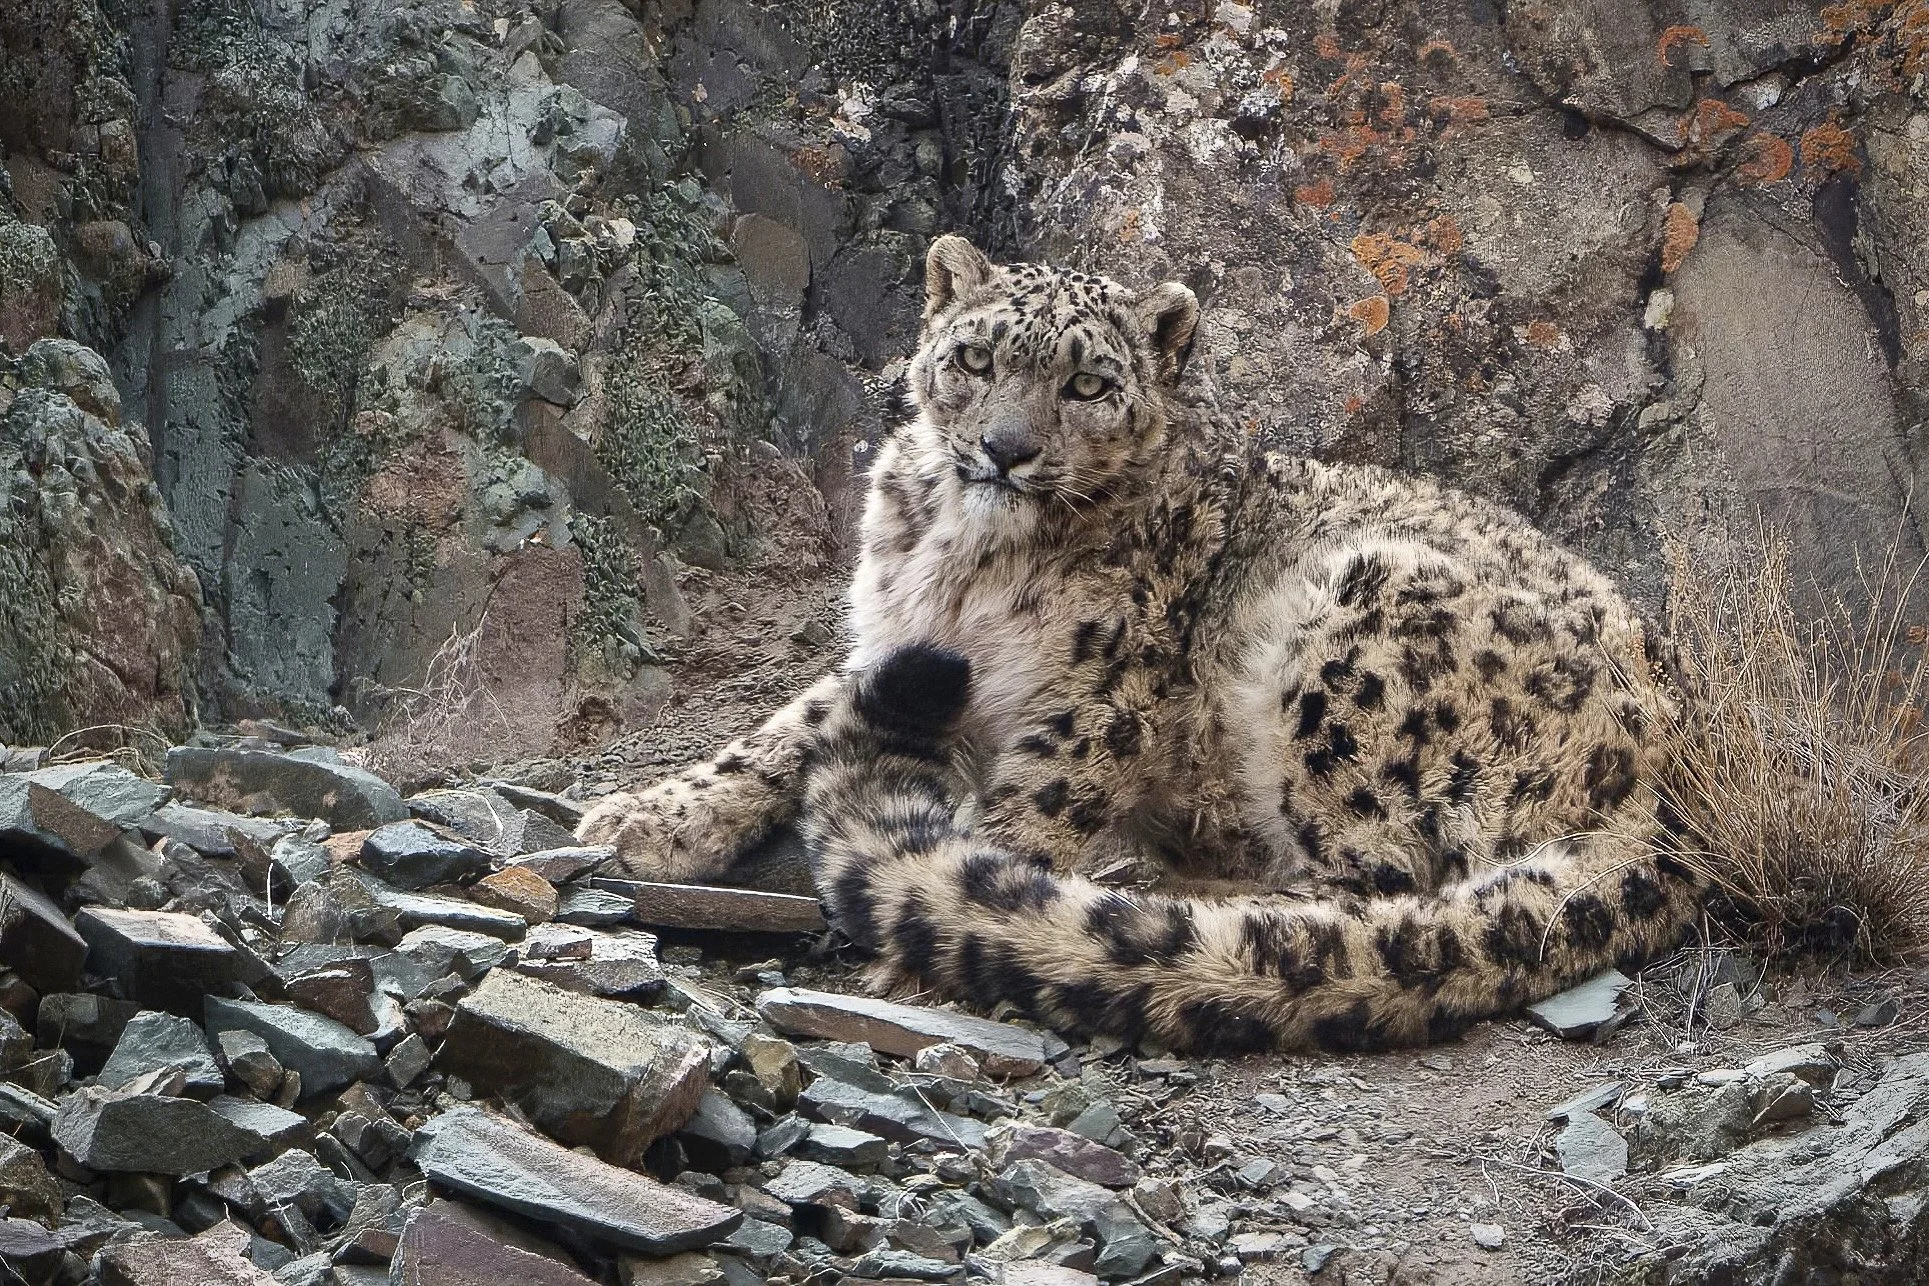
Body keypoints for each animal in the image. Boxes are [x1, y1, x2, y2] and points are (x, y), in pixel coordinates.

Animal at [578, 234, 1706, 1054]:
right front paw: (646, 816)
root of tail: (1670, 791)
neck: (964, 562)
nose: (1004, 449)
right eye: (975, 357)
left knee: (1371, 884)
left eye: (1087, 385)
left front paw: (958, 911)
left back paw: (1149, 897)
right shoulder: (899, 640)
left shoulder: (1098, 691)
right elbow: (784, 728)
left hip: (1356, 637)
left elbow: (1029, 804)